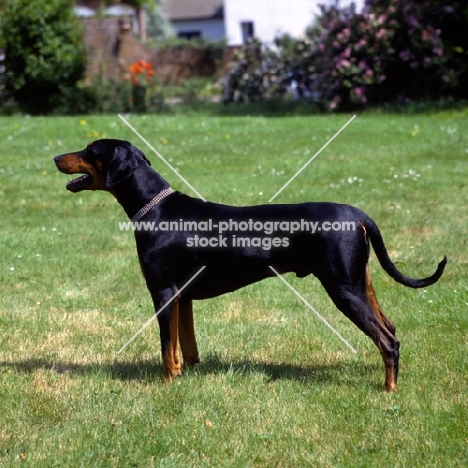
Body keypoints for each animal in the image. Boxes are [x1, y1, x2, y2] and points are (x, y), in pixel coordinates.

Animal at [54, 139, 446, 392]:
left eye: (89, 151)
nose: (56, 157)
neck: (157, 208)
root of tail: (359, 214)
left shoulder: (163, 291)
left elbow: (167, 348)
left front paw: (166, 385)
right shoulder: (183, 296)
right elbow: (186, 345)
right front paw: (188, 375)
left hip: (343, 289)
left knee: (387, 340)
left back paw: (389, 390)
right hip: (360, 283)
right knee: (390, 328)